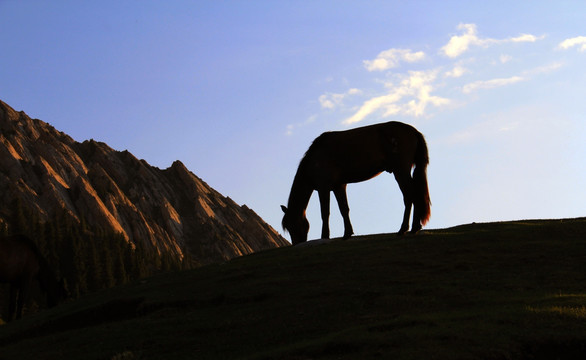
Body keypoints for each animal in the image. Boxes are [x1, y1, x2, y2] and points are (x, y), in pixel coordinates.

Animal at [282, 121, 428, 245]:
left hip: (401, 171)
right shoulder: (339, 187)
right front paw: (347, 233)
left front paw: (325, 236)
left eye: (292, 224)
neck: (315, 158)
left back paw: (406, 228)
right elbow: (344, 209)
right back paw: (413, 228)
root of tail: (413, 131)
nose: (297, 243)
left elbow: (325, 213)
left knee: (410, 196)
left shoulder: (324, 188)